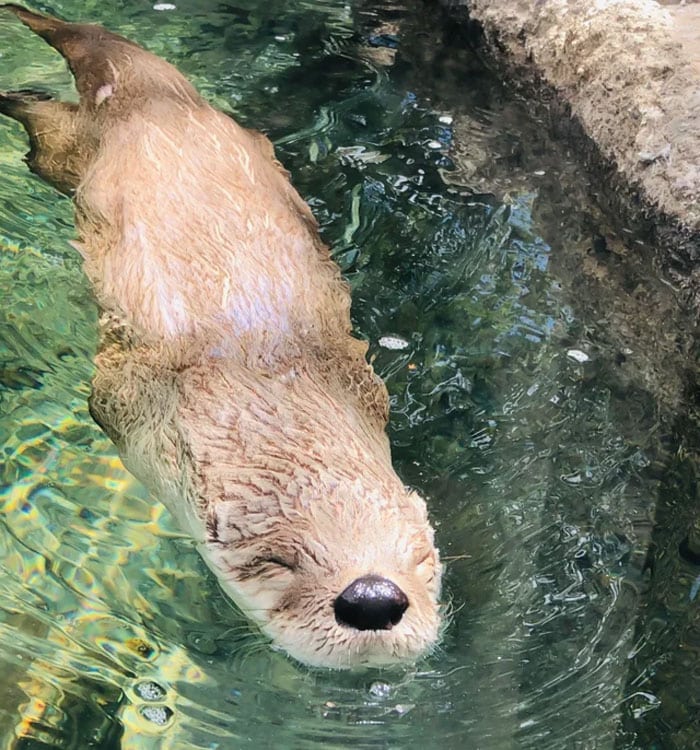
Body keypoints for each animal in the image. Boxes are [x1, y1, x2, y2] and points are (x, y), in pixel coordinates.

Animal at [0, 5, 443, 669]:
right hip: (72, 154)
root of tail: (159, 102)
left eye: (421, 556)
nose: (372, 597)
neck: (265, 384)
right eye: (279, 561)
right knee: (48, 123)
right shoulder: (126, 399)